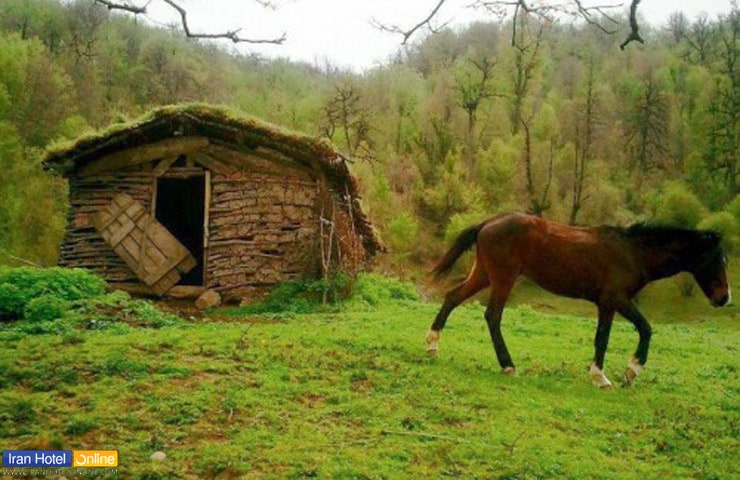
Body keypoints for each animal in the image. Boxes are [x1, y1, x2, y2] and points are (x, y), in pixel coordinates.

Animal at [428, 214, 728, 386]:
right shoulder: (617, 298)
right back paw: (508, 365)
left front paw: (599, 375)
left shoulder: (606, 304)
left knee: (452, 297)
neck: (633, 252)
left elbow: (602, 337)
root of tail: (487, 223)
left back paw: (432, 345)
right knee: (492, 316)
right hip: (503, 278)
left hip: (484, 274)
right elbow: (645, 328)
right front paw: (630, 371)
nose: (724, 298)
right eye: (717, 260)